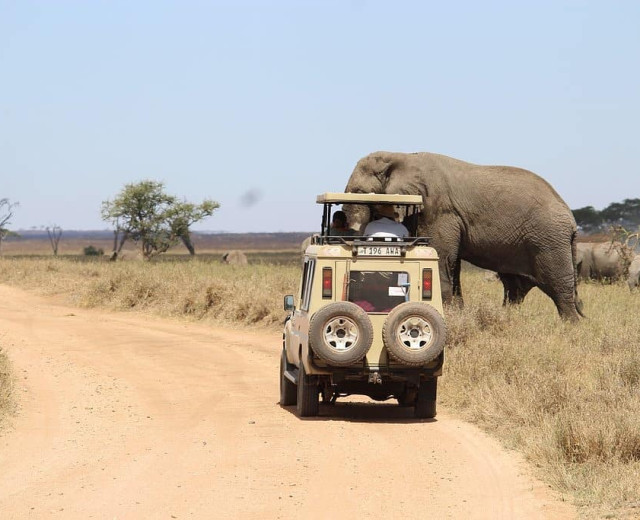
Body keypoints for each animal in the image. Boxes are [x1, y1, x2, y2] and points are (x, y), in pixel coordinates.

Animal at [344, 150, 584, 320]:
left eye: (360, 193)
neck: (399, 156)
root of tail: (572, 220)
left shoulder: (439, 209)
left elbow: (441, 257)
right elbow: (452, 263)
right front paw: (457, 313)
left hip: (549, 241)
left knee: (558, 286)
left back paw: (570, 327)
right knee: (515, 287)